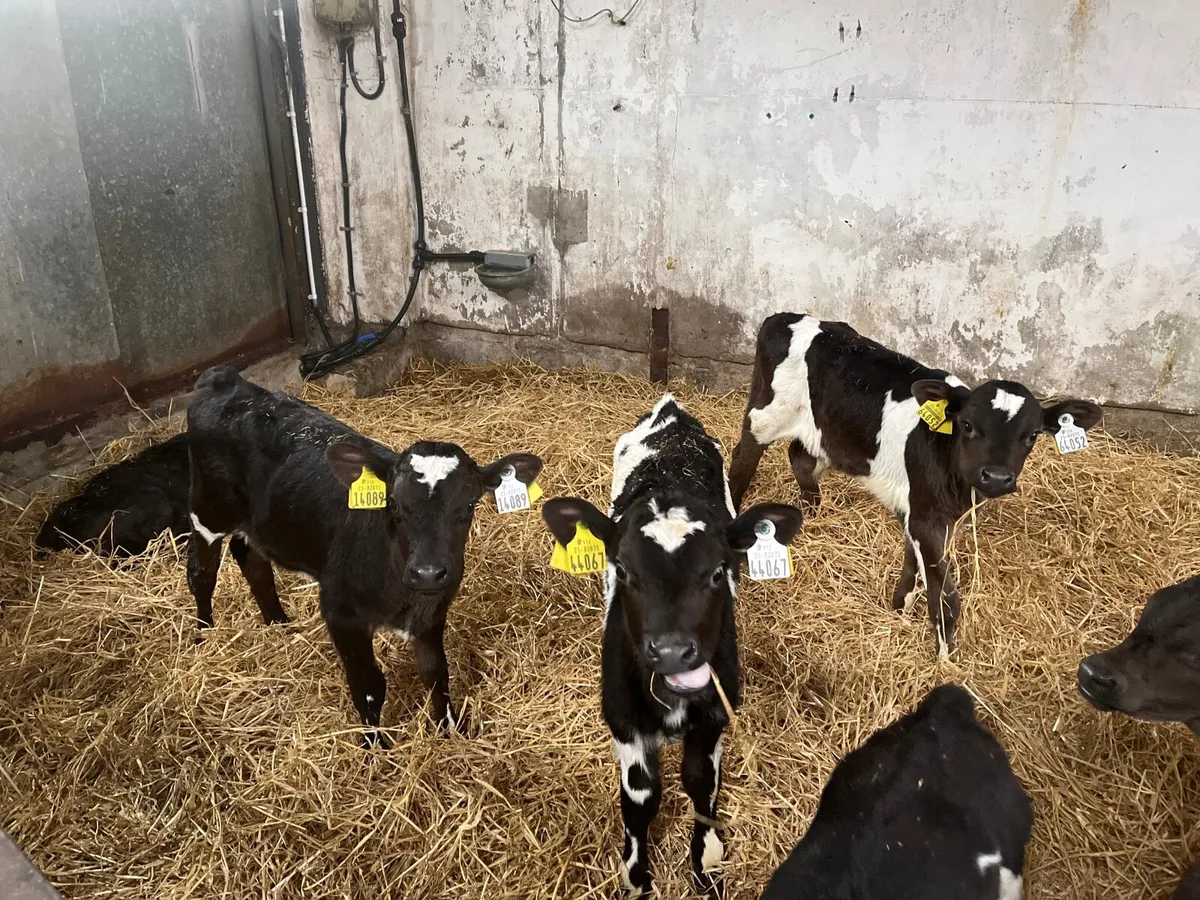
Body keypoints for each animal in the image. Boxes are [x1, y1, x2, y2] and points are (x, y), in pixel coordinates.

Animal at [184, 365, 543, 747]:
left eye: (470, 505)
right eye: (394, 504)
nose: (428, 572)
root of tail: (227, 379)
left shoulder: (432, 611)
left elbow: (437, 674)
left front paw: (451, 729)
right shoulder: (341, 614)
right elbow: (369, 685)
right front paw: (375, 747)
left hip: (256, 524)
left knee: (251, 559)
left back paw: (277, 622)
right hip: (207, 511)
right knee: (201, 573)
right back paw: (204, 634)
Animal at [542, 394, 804, 897]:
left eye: (720, 570)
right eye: (623, 569)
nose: (670, 651)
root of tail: (672, 411)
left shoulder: (716, 714)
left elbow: (702, 782)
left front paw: (707, 861)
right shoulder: (623, 719)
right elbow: (641, 797)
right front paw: (637, 874)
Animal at [728, 312, 1102, 654]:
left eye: (1033, 435)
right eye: (967, 425)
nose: (996, 476)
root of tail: (784, 317)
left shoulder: (929, 513)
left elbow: (914, 564)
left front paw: (900, 606)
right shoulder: (925, 518)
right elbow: (945, 595)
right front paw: (946, 657)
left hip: (821, 431)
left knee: (800, 457)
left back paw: (814, 511)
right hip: (764, 415)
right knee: (743, 460)